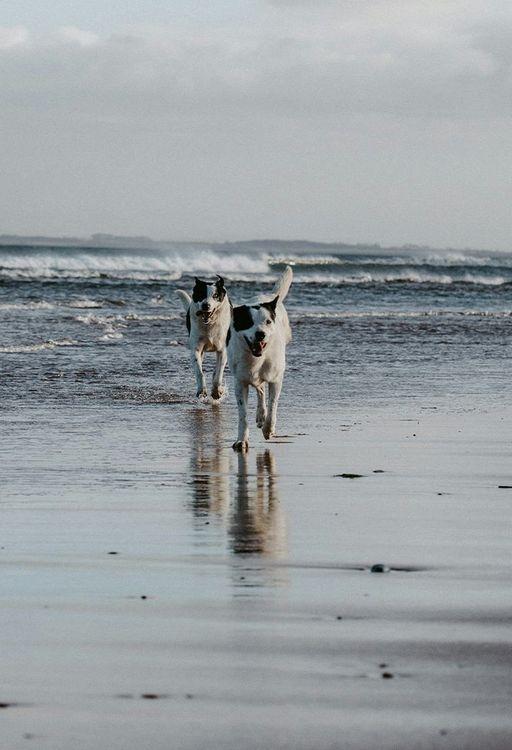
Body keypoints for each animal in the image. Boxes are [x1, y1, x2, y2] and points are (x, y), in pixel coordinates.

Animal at [227, 266, 292, 452]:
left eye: (268, 321)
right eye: (248, 322)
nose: (260, 334)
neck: (256, 359)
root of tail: (269, 297)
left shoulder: (276, 379)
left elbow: (273, 405)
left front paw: (268, 429)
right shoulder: (240, 381)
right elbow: (242, 414)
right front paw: (242, 440)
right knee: (260, 389)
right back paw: (259, 415)